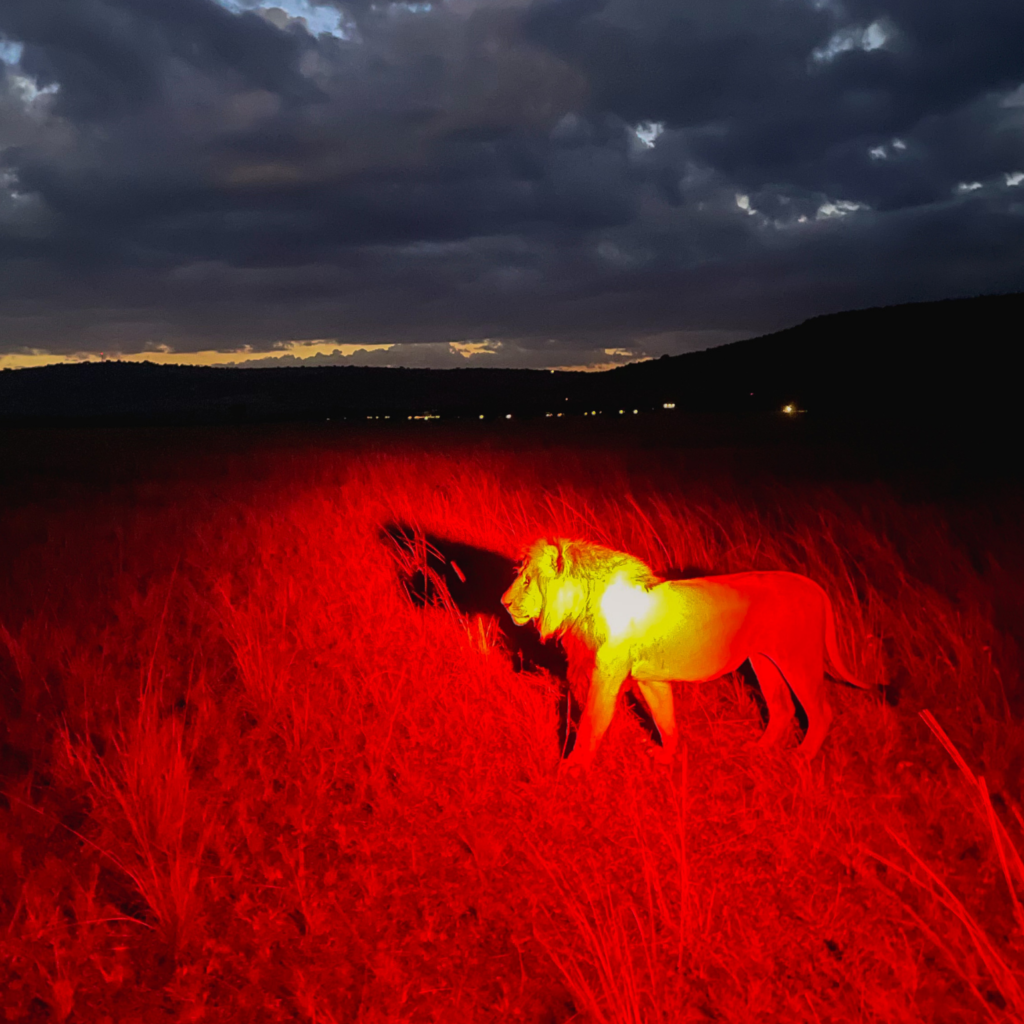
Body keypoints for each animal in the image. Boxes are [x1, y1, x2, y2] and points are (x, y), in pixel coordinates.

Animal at [499, 540, 868, 765]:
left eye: (527, 580)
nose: (503, 602)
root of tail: (815, 586)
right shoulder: (649, 678)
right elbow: (665, 717)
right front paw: (668, 756)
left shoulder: (607, 674)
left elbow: (592, 720)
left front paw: (571, 769)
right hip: (763, 660)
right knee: (782, 708)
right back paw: (758, 749)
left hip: (797, 658)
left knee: (820, 712)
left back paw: (801, 756)